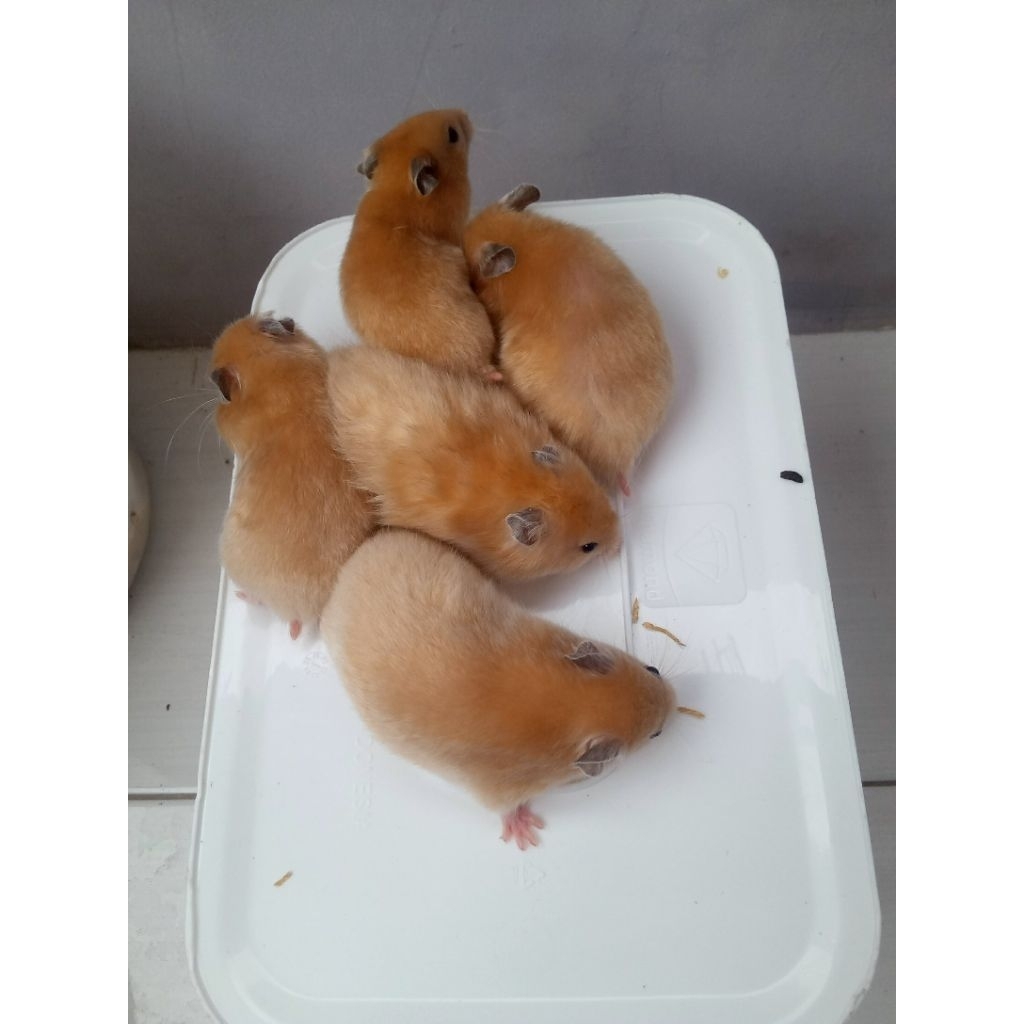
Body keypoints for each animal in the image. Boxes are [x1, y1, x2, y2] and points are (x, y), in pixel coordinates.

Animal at [321, 529, 675, 849]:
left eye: (653, 669)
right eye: (656, 733)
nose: (675, 699)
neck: (562, 705)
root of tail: (354, 559)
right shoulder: (497, 789)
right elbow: (505, 809)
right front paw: (527, 837)